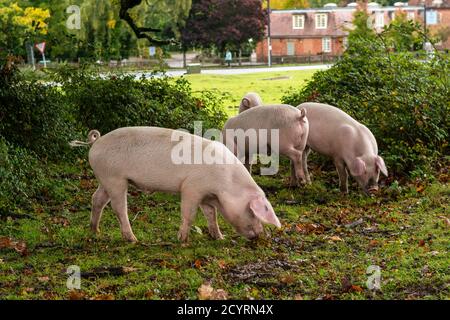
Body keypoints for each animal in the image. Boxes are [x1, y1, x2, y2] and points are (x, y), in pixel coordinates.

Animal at [69, 126, 282, 244]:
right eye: (253, 212)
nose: (261, 235)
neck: (226, 184)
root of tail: (96, 142)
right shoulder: (191, 188)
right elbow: (189, 214)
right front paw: (182, 240)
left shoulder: (206, 195)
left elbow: (211, 215)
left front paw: (219, 237)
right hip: (115, 179)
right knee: (119, 207)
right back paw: (133, 239)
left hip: (105, 179)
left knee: (97, 199)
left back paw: (95, 231)